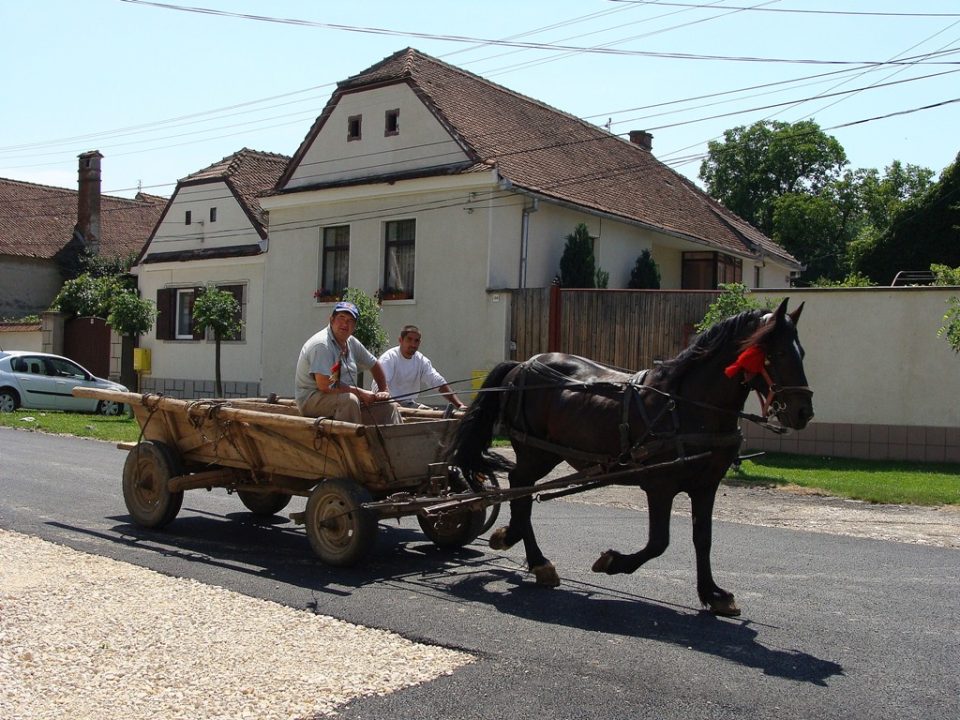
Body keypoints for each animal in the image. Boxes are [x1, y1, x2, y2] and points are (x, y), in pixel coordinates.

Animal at [446, 296, 812, 616]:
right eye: (776, 353)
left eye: (802, 352)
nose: (803, 412)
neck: (685, 406)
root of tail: (522, 364)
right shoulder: (660, 486)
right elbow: (659, 542)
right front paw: (613, 561)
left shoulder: (706, 485)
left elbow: (703, 539)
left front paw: (713, 594)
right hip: (536, 451)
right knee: (520, 488)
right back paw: (536, 559)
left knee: (521, 492)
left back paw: (515, 541)